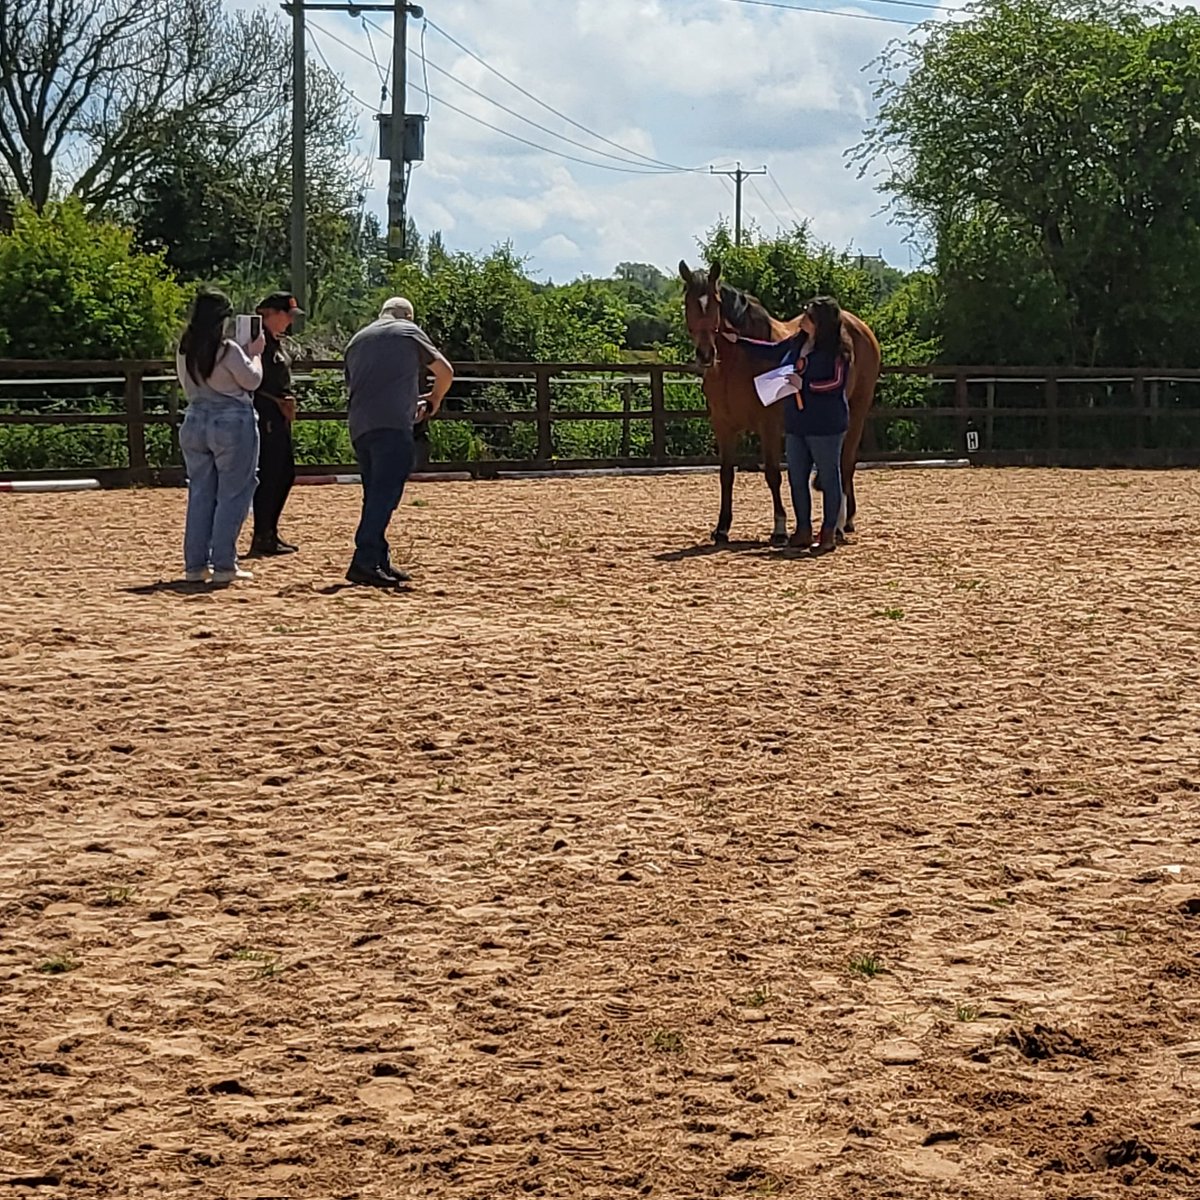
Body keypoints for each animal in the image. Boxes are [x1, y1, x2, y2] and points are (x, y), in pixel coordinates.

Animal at [679, 259, 882, 544]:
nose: (706, 354)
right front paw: (722, 529)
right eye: (688, 302)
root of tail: (858, 326)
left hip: (856, 412)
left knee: (845, 464)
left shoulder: (769, 425)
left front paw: (780, 528)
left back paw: (839, 526)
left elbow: (773, 474)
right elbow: (726, 474)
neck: (737, 363)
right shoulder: (723, 425)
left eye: (716, 302)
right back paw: (848, 520)